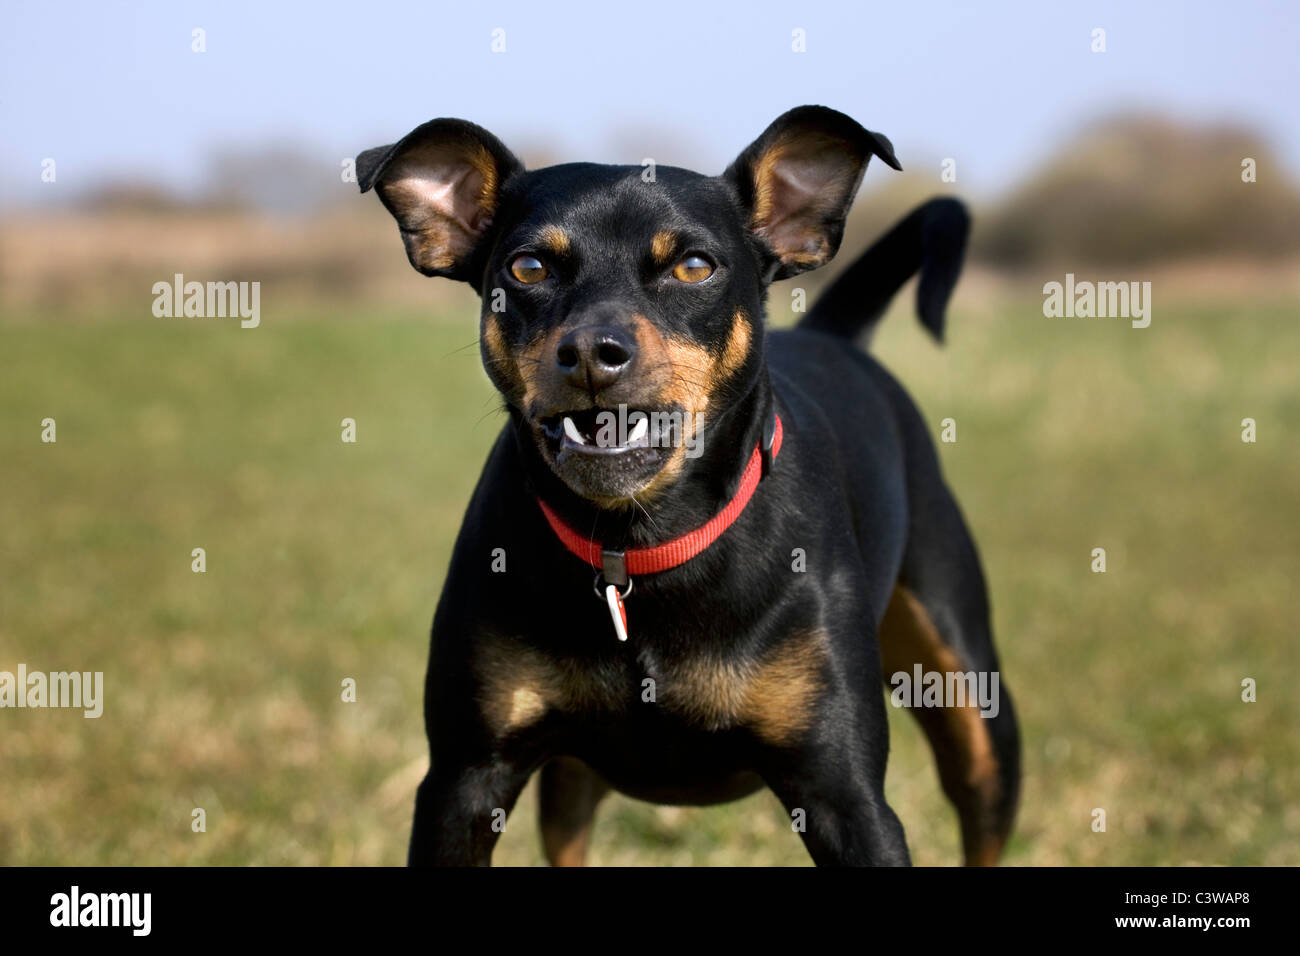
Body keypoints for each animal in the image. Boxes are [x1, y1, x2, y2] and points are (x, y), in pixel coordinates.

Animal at [361, 104, 1019, 868]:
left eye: (694, 265)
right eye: (528, 266)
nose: (591, 352)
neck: (638, 543)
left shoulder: (846, 796)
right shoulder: (464, 781)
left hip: (974, 704)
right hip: (570, 780)